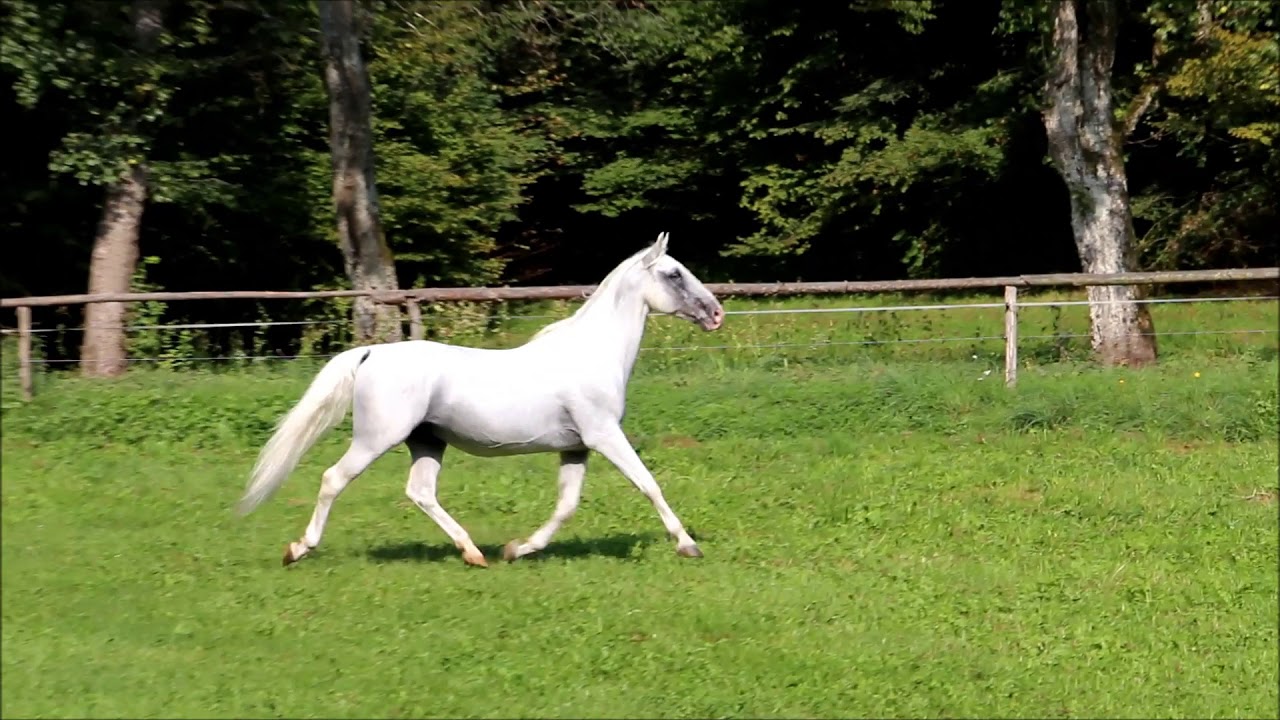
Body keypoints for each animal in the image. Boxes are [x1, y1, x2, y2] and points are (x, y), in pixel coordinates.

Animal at [237, 232, 725, 568]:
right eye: (673, 274)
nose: (716, 313)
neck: (591, 354)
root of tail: (371, 352)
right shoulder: (604, 436)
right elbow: (649, 484)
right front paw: (688, 545)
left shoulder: (576, 447)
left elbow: (566, 506)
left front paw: (518, 548)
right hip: (376, 439)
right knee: (333, 479)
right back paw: (298, 549)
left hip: (427, 441)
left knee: (420, 492)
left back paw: (473, 553)